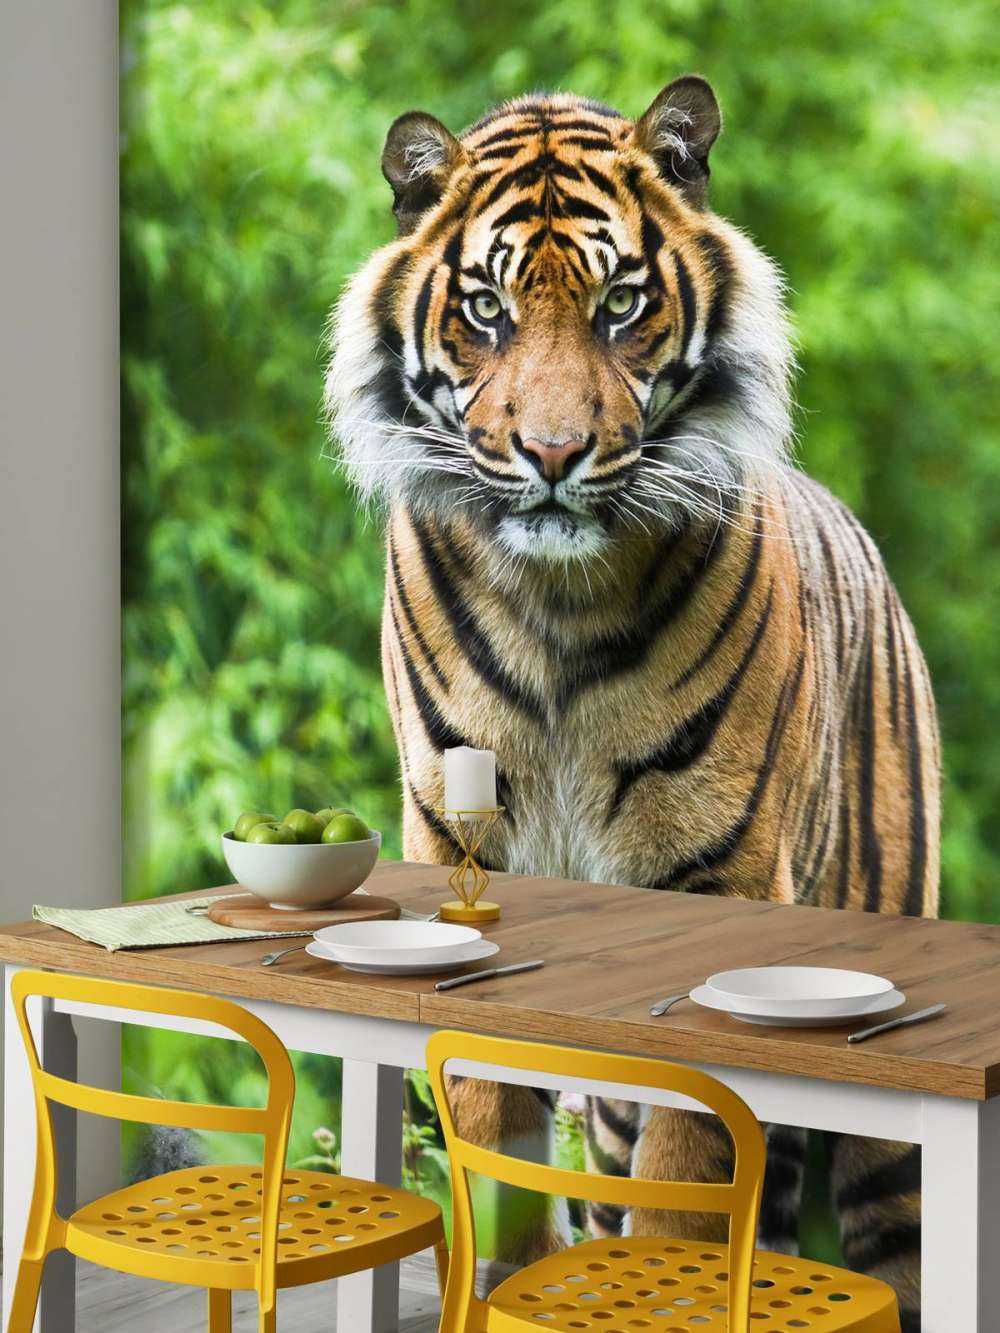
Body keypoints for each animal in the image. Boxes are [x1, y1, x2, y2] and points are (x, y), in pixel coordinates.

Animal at [325, 75, 939, 1331]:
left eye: (619, 304)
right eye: (485, 308)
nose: (554, 454)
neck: (556, 602)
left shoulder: (720, 873)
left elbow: (687, 1177)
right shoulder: (462, 842)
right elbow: (492, 1123)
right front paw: (508, 1277)